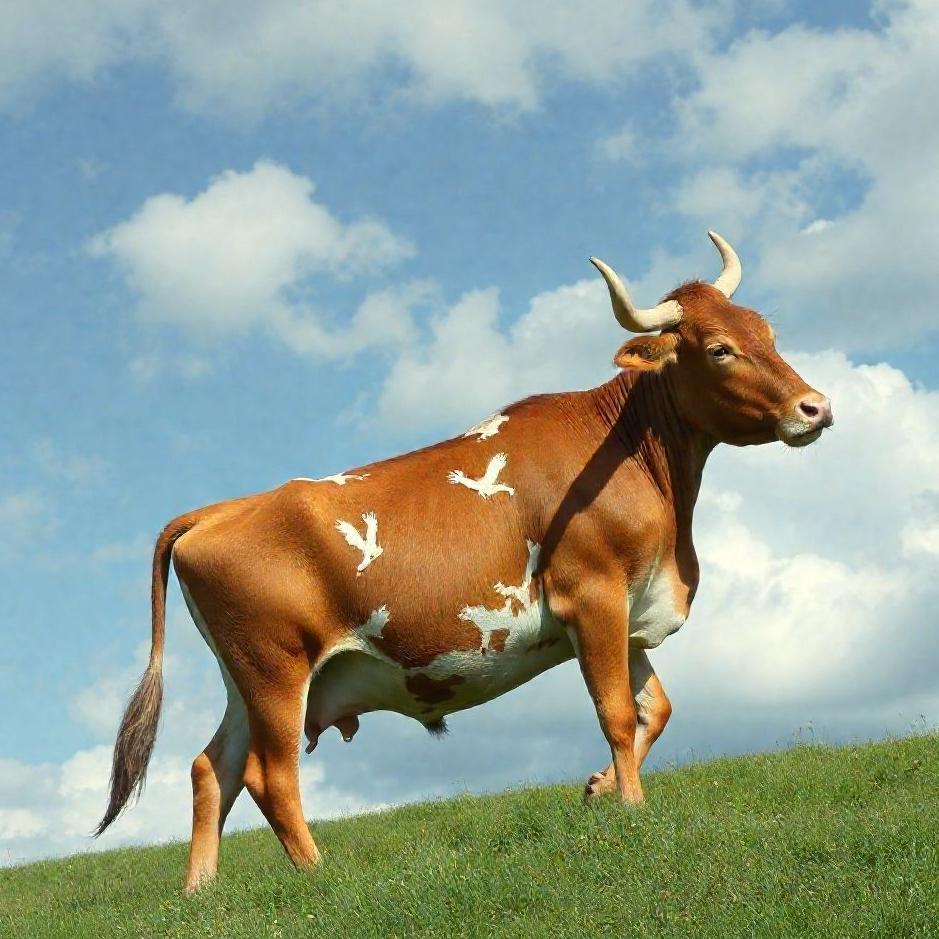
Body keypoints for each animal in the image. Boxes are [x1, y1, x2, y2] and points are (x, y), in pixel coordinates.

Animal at [95, 231, 833, 892]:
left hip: (243, 678)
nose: (816, 406)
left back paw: (200, 890)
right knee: (268, 776)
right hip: (275, 666)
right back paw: (317, 873)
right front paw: (630, 808)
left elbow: (657, 709)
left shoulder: (629, 606)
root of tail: (218, 509)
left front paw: (598, 788)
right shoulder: (592, 594)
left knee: (210, 768)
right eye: (719, 349)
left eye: (767, 332)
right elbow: (617, 712)